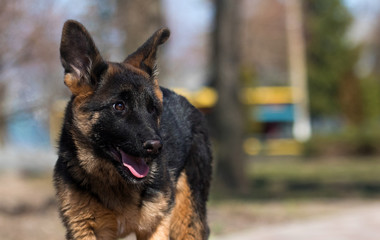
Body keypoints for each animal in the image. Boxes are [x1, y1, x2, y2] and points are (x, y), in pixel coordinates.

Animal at [53, 19, 214, 239]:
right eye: (119, 106)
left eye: (152, 109)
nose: (156, 147)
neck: (115, 182)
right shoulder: (84, 229)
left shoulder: (156, 225)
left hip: (185, 220)